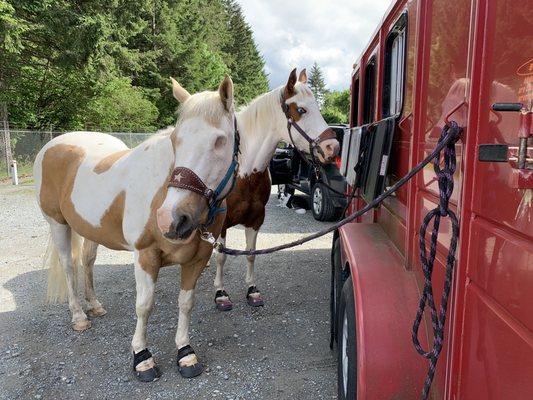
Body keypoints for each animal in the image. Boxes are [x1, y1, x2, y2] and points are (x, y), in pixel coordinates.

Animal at [34, 76, 238, 382]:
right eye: (175, 140)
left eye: (220, 141)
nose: (171, 219)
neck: (161, 191)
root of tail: (54, 146)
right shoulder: (145, 256)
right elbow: (144, 306)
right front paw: (142, 358)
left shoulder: (197, 259)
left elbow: (185, 303)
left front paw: (185, 353)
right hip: (57, 224)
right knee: (69, 267)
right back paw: (79, 317)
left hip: (89, 229)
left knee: (87, 262)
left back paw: (94, 306)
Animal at [214, 68, 338, 310]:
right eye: (301, 110)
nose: (333, 148)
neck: (243, 173)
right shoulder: (222, 222)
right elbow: (222, 257)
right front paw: (221, 294)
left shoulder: (256, 219)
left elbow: (251, 254)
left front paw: (252, 290)